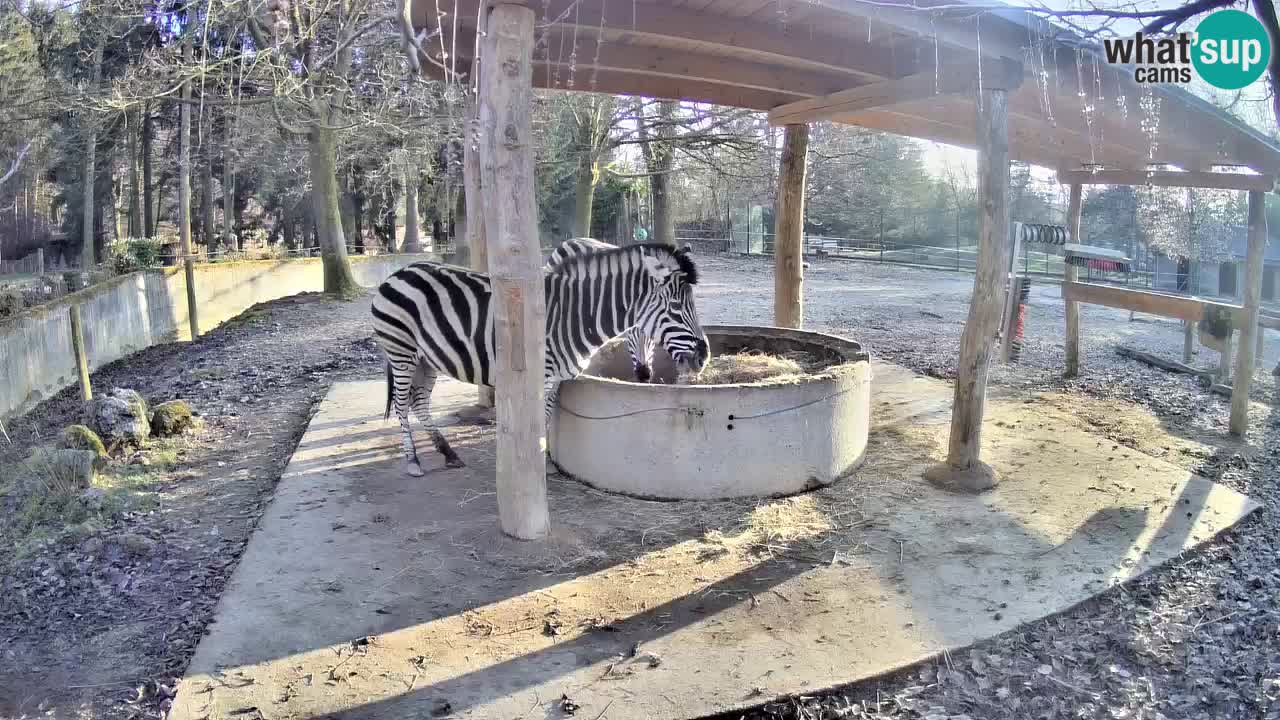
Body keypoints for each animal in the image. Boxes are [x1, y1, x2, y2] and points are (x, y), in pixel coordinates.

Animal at [371, 242, 711, 476]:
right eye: (676, 307)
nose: (704, 357)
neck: (576, 314)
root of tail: (398, 273)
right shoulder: (542, 374)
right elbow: (537, 418)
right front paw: (536, 462)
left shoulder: (556, 378)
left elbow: (547, 416)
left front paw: (544, 459)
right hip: (401, 351)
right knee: (402, 404)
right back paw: (413, 461)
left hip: (427, 359)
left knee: (419, 402)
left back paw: (448, 453)